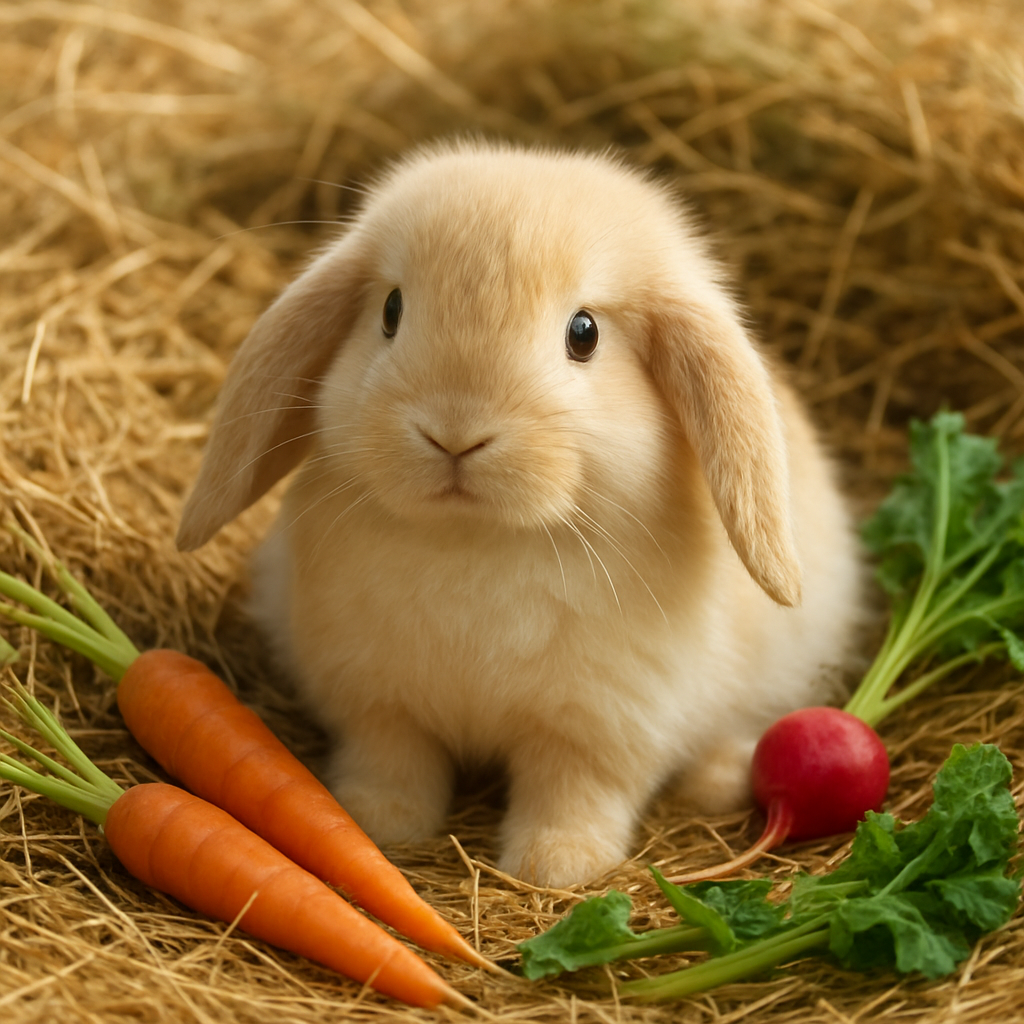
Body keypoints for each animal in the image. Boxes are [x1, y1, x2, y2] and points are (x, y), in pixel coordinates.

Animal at [176, 140, 864, 889]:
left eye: (584, 333)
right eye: (390, 310)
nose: (454, 432)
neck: (479, 539)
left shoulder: (599, 726)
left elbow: (575, 791)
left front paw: (557, 864)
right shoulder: (380, 706)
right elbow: (393, 763)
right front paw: (376, 824)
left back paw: (717, 781)